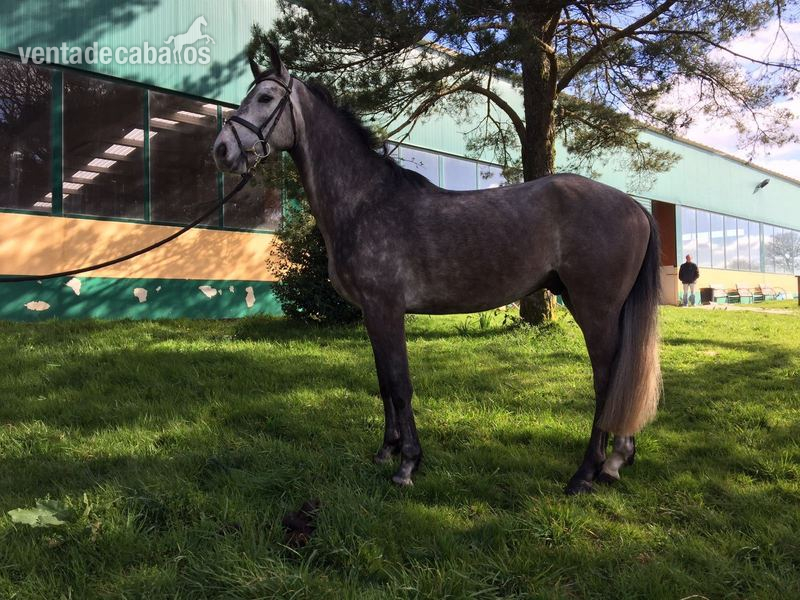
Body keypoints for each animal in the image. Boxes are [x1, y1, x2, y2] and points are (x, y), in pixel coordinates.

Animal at [212, 45, 662, 495]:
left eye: (265, 98)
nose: (221, 150)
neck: (366, 201)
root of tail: (634, 206)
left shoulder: (387, 309)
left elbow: (400, 384)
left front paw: (408, 464)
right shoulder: (372, 314)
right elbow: (384, 384)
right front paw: (386, 450)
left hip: (594, 309)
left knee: (607, 382)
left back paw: (586, 474)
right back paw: (616, 461)